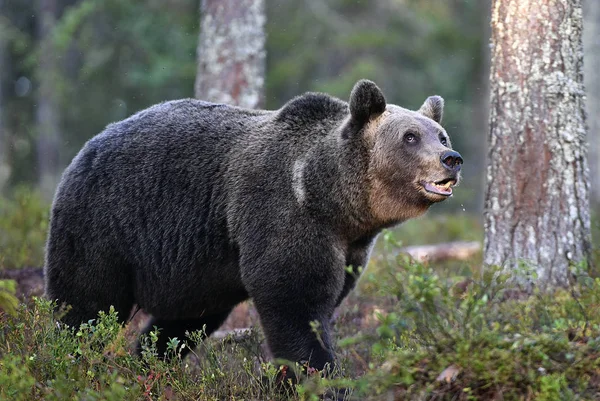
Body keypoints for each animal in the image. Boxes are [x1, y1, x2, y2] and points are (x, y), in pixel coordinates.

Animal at [44, 78, 462, 372]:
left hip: (196, 274)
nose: (451, 158)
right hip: (103, 222)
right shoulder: (284, 215)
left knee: (182, 323)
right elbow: (296, 305)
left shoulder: (349, 250)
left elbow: (323, 305)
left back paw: (147, 364)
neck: (331, 201)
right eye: (410, 137)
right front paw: (318, 377)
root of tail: (88, 145)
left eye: (440, 135)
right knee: (86, 303)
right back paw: (71, 360)